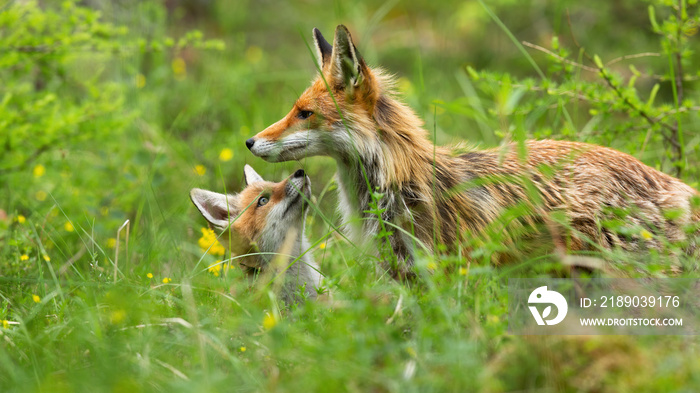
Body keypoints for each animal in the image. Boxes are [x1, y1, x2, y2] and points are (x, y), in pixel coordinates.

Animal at [245, 25, 696, 276]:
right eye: (294, 109)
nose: (250, 142)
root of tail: (678, 185)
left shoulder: (443, 269)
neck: (398, 182)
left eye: (305, 113)